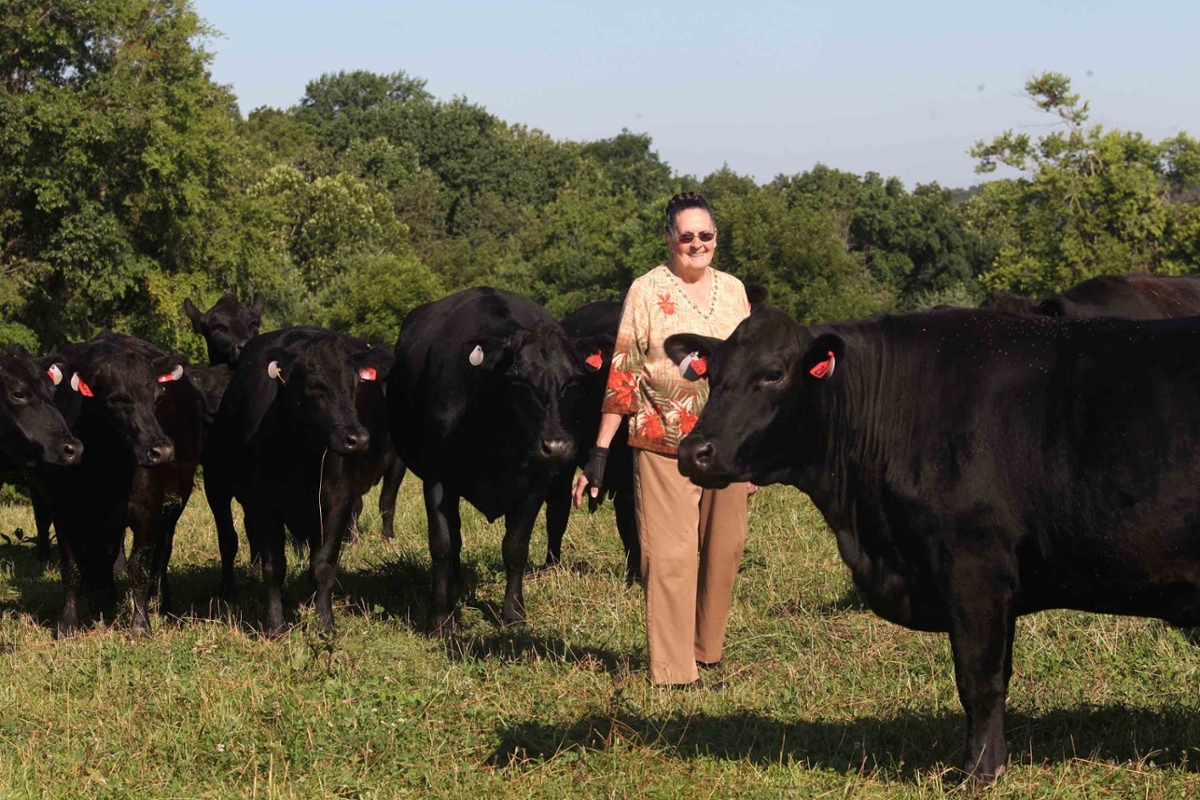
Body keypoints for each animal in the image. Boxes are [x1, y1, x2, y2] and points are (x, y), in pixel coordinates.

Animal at [43, 331, 202, 638]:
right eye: (117, 399)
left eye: (157, 397)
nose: (162, 450)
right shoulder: (62, 509)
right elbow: (71, 567)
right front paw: (68, 623)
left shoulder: (148, 510)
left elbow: (138, 567)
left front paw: (140, 624)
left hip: (175, 502)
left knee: (162, 553)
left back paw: (161, 601)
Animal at [667, 309, 1200, 786]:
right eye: (712, 374)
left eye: (774, 373)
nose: (694, 451)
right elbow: (996, 674)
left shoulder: (974, 566)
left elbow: (979, 679)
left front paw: (980, 773)